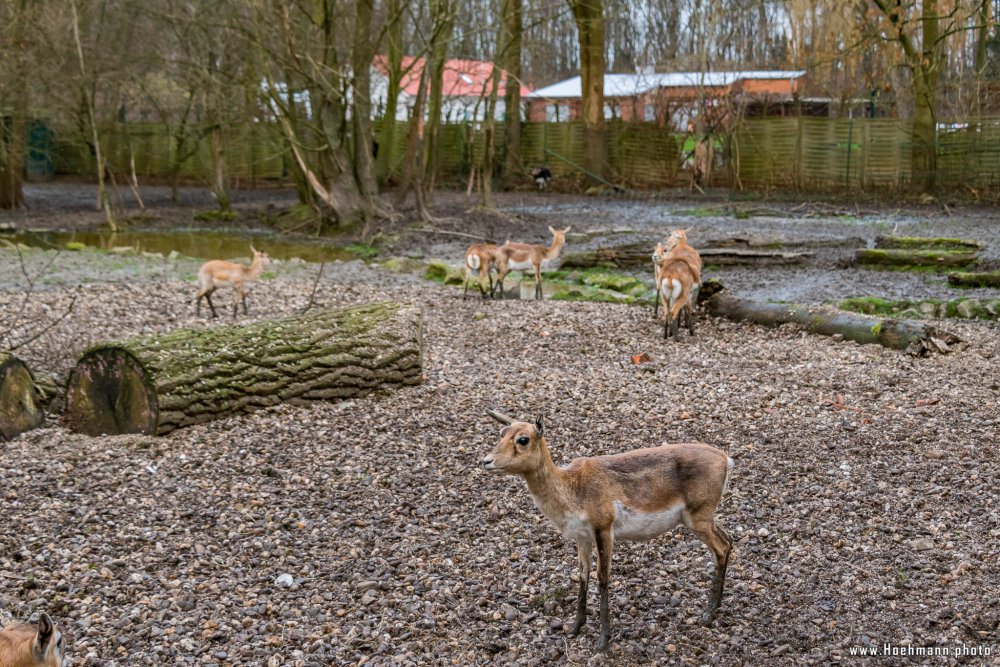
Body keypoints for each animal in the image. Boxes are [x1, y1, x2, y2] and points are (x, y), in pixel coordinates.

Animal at [484, 410, 736, 656]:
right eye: (501, 432)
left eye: (523, 439)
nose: (487, 461)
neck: (573, 489)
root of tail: (725, 459)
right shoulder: (581, 537)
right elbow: (582, 575)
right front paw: (574, 629)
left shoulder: (603, 529)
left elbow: (602, 576)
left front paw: (603, 642)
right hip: (703, 519)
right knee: (728, 540)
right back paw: (716, 608)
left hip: (698, 517)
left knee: (721, 547)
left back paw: (707, 616)